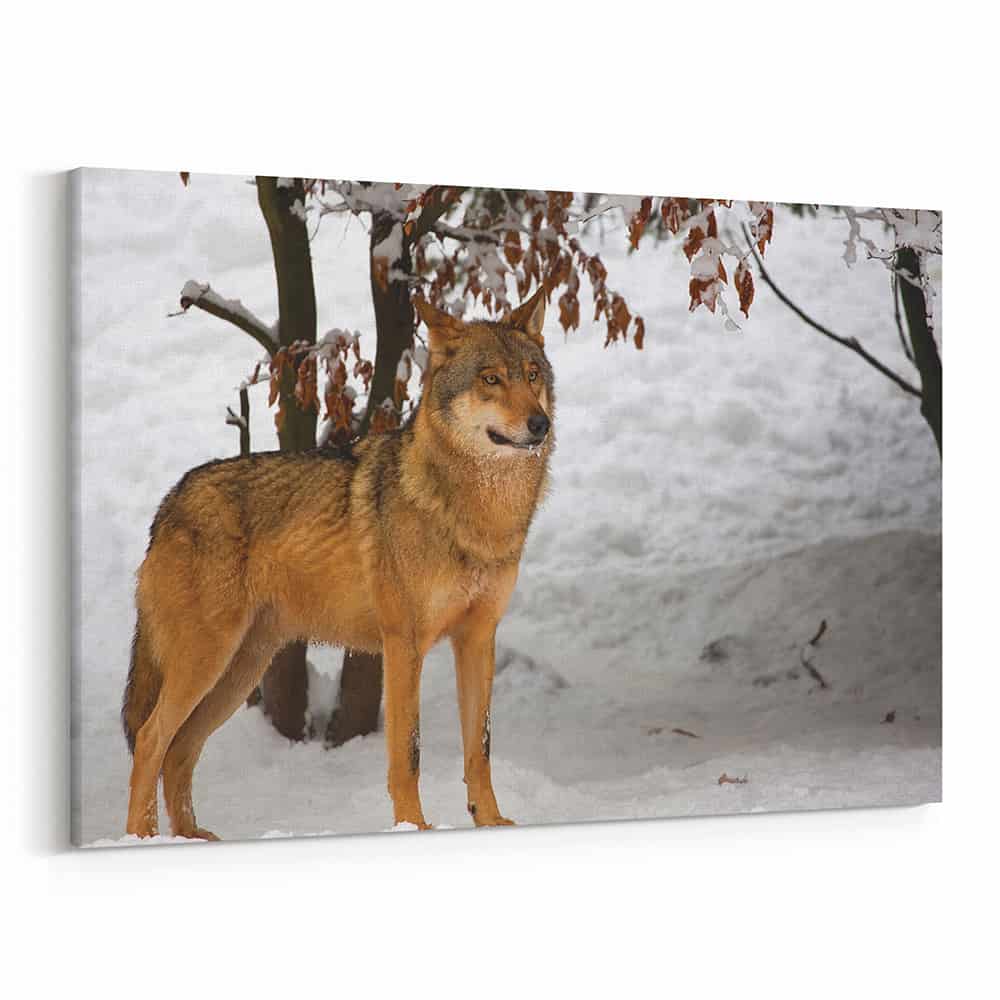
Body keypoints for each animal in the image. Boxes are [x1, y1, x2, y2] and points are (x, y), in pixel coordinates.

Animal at [122, 288, 554, 839]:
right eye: (491, 379)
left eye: (532, 375)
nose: (540, 424)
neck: (473, 514)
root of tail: (169, 502)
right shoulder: (403, 645)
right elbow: (407, 752)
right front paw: (412, 827)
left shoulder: (478, 639)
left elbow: (480, 748)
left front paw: (492, 822)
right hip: (206, 661)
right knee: (150, 739)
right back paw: (141, 838)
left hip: (238, 671)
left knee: (179, 750)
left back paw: (192, 838)